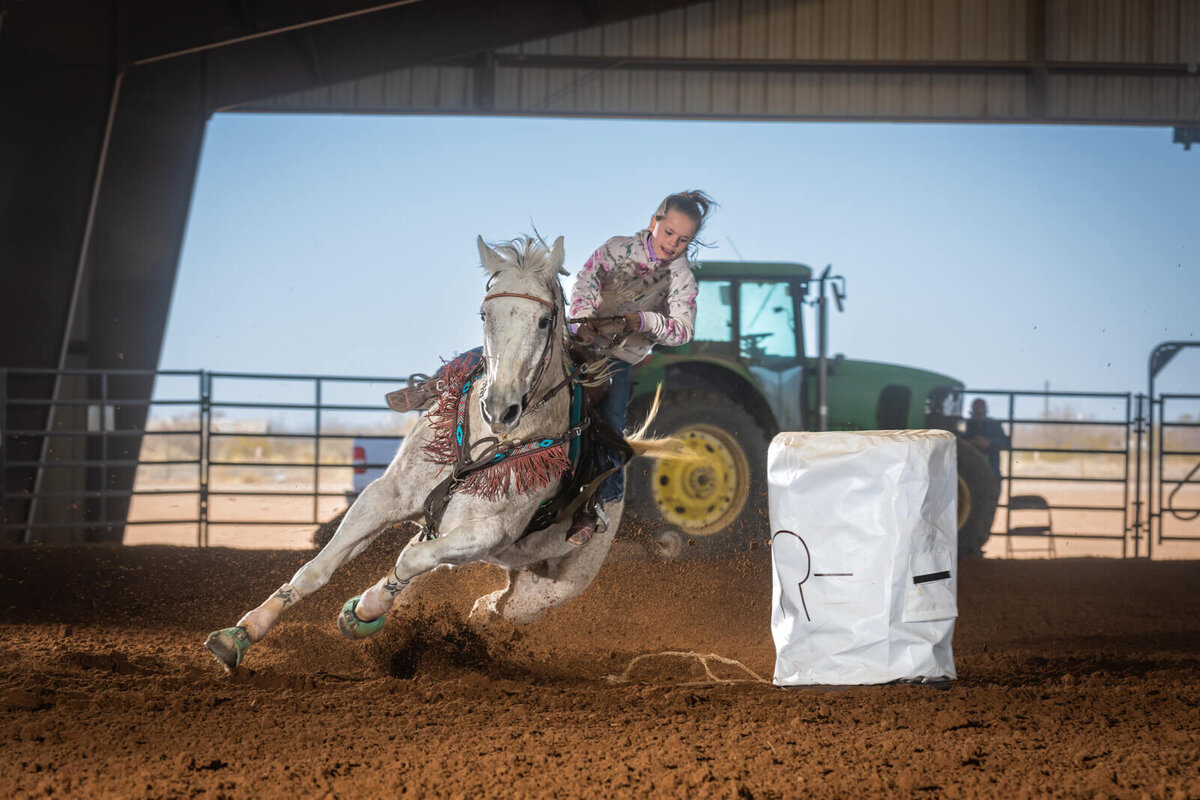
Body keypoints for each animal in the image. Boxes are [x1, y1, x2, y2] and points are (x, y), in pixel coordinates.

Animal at [206, 235, 657, 671]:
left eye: (544, 320)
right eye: (485, 315)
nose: (500, 408)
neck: (485, 443)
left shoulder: (487, 532)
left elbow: (410, 563)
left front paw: (365, 609)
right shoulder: (387, 496)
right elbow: (317, 568)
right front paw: (239, 635)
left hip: (556, 585)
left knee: (498, 606)